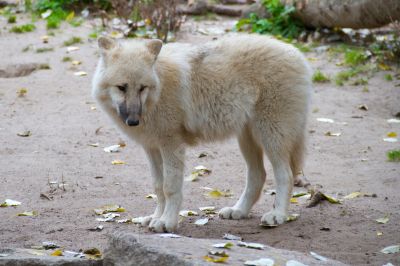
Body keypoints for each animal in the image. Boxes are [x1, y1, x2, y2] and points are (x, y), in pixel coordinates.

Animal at [92, 34, 310, 232]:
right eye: (122, 87)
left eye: (142, 88)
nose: (133, 121)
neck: (159, 87)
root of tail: (298, 54)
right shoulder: (152, 148)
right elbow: (158, 187)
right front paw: (155, 218)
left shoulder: (171, 146)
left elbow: (170, 187)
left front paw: (166, 222)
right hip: (247, 140)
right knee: (258, 176)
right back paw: (238, 211)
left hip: (271, 137)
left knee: (285, 175)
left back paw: (277, 215)